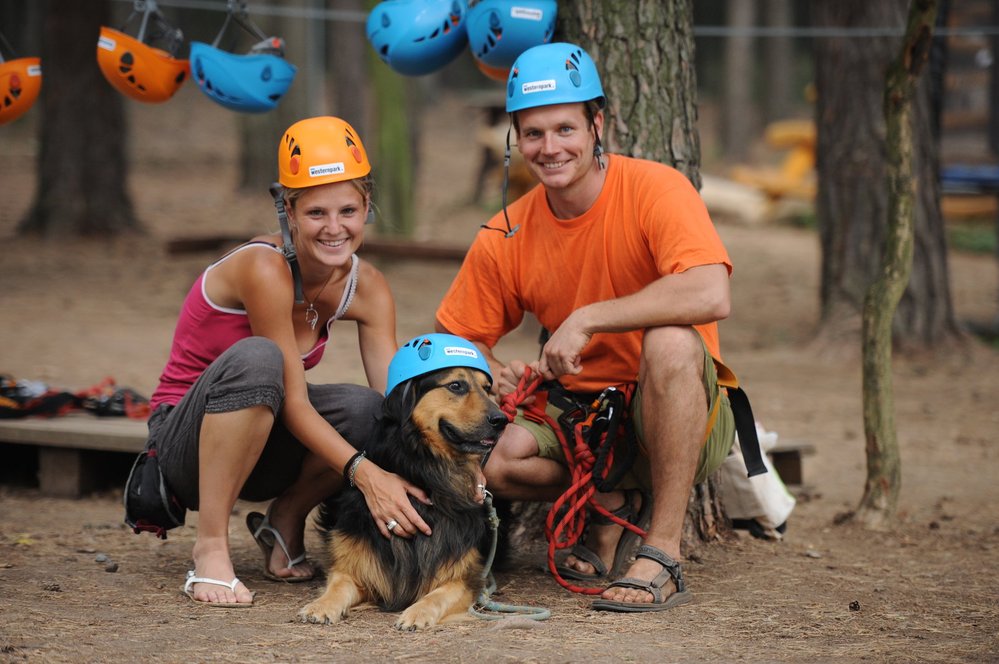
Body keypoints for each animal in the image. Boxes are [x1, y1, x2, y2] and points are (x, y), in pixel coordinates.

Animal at [298, 366, 508, 632]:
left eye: (487, 388)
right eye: (456, 385)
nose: (502, 420)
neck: (425, 476)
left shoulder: (466, 577)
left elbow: (436, 595)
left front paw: (417, 613)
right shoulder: (354, 567)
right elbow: (337, 586)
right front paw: (320, 606)